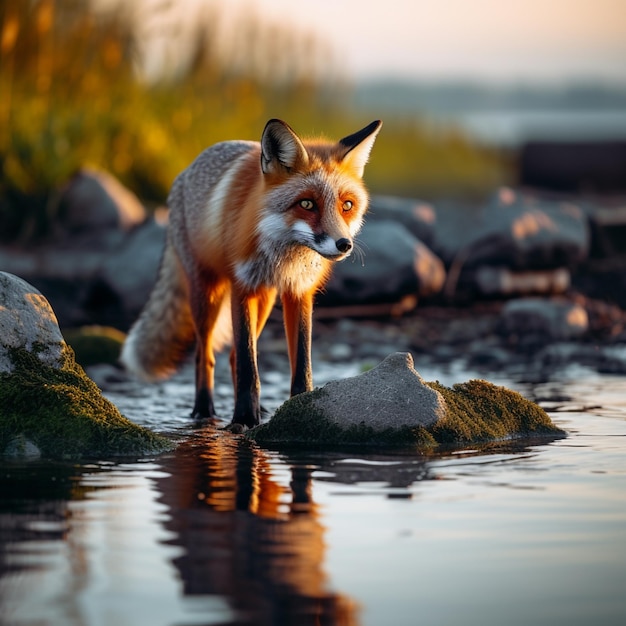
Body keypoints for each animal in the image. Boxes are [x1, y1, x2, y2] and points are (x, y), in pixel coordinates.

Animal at [119, 117, 378, 428]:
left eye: (347, 205)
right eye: (306, 204)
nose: (344, 244)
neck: (284, 254)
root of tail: (184, 173)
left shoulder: (299, 292)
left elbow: (301, 362)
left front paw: (299, 407)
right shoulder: (241, 287)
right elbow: (247, 365)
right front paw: (243, 418)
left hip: (264, 301)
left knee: (231, 355)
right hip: (208, 294)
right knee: (204, 355)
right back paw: (203, 410)